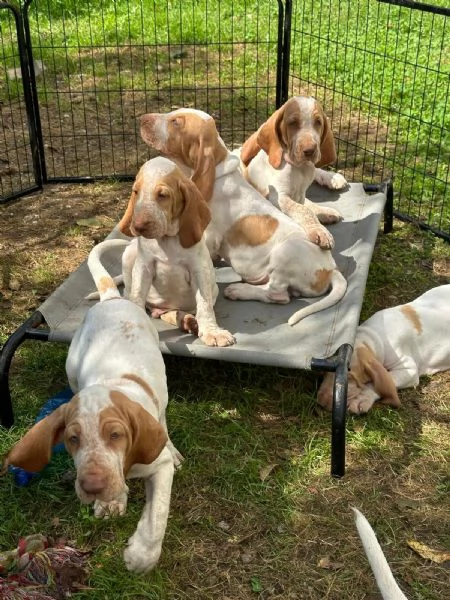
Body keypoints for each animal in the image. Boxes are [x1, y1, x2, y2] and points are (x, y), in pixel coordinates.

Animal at [239, 96, 348, 251]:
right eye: (292, 123)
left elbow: (304, 206)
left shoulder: (300, 193)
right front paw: (319, 231)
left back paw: (330, 183)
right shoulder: (278, 197)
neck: (299, 168)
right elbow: (303, 210)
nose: (310, 150)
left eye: (318, 122)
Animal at [318, 284, 450, 414]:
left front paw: (361, 399)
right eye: (325, 372)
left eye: (349, 378)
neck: (372, 337)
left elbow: (378, 383)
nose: (321, 402)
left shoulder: (409, 370)